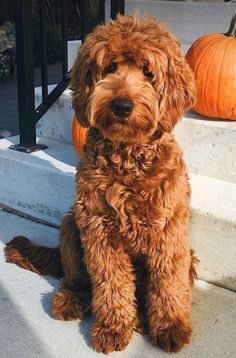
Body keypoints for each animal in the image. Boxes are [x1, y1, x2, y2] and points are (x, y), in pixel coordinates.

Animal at [5, 13, 197, 352]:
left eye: (148, 72)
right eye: (110, 67)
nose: (121, 106)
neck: (128, 158)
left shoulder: (169, 231)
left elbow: (168, 280)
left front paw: (170, 325)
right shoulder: (98, 230)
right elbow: (111, 283)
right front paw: (113, 327)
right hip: (71, 225)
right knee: (77, 280)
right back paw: (71, 300)